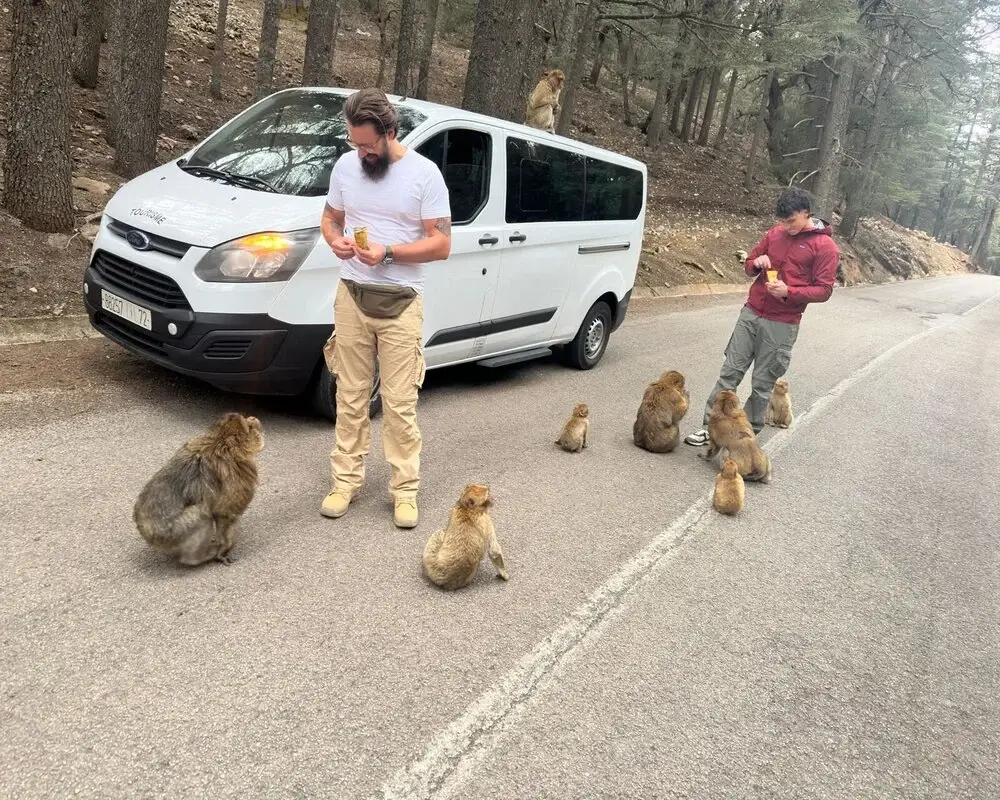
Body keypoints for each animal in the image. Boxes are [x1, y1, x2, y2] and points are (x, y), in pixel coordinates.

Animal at [134, 416, 266, 564]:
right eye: (249, 426)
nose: (253, 418)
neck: (219, 442)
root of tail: (145, 529)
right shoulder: (239, 478)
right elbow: (225, 513)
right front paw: (225, 548)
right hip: (177, 531)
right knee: (202, 513)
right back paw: (200, 556)